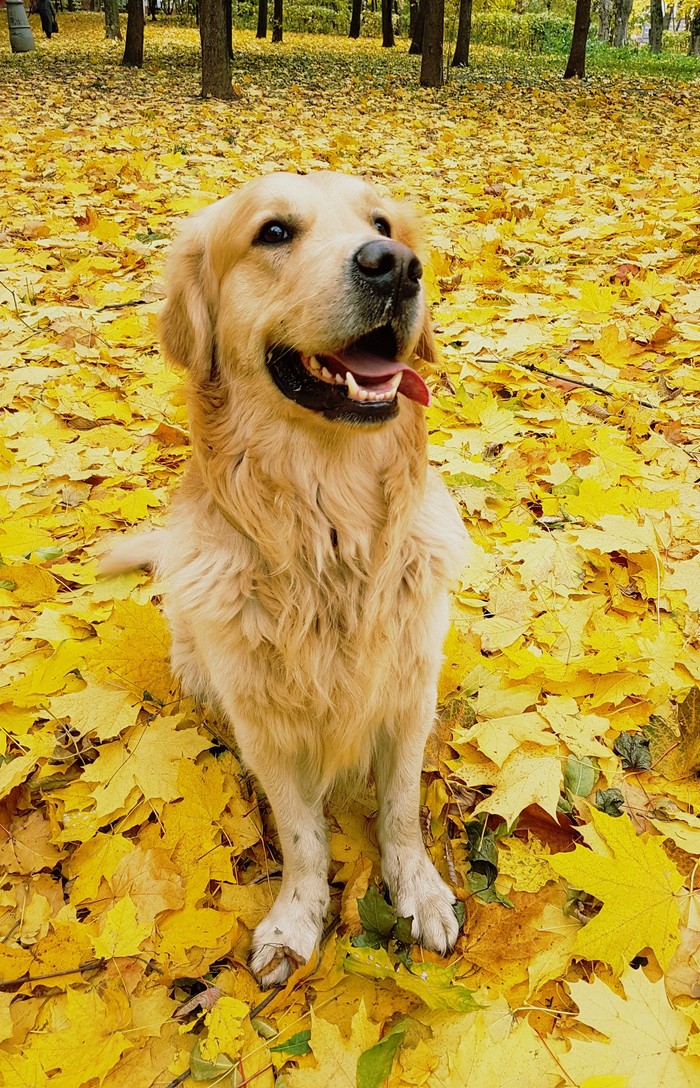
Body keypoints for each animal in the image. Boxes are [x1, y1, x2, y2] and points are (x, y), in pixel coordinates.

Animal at [103, 171, 474, 987]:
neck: (330, 530)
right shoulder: (265, 727)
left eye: (382, 224)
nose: (397, 267)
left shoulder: (409, 694)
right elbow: (302, 833)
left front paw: (419, 889)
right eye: (273, 232)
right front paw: (296, 921)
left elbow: (400, 808)